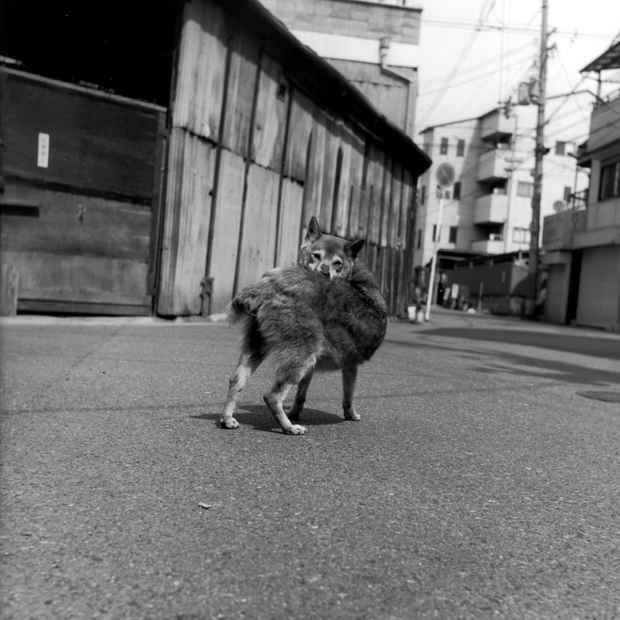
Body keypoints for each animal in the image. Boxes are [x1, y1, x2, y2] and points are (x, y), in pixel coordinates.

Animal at [219, 218, 388, 436]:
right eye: (316, 256)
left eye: (338, 263)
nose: (324, 272)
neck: (354, 275)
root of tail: (271, 284)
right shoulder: (350, 365)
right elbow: (348, 395)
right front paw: (351, 415)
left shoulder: (314, 366)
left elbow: (301, 394)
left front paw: (295, 412)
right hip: (302, 354)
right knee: (272, 396)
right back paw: (289, 427)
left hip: (262, 348)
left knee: (236, 381)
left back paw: (228, 418)